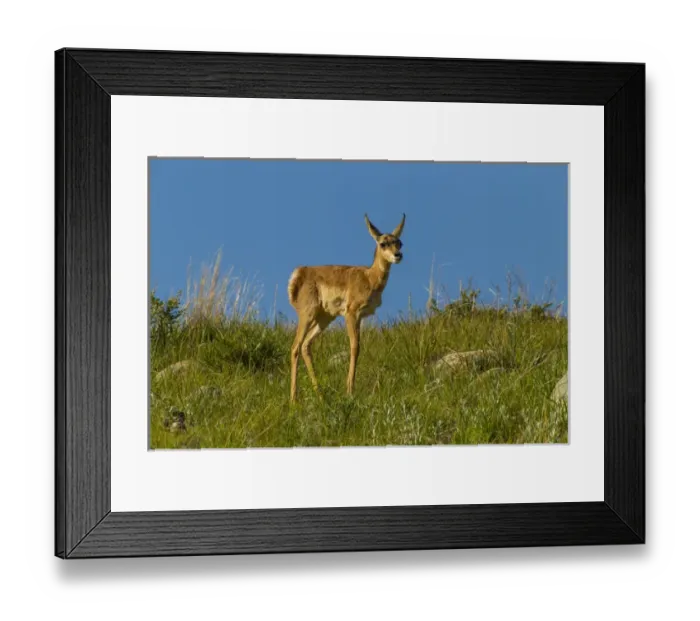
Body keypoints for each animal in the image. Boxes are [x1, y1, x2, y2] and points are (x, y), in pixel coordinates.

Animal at [287, 213, 406, 403]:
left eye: (400, 242)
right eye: (383, 243)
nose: (398, 255)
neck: (369, 277)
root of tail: (300, 273)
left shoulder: (359, 317)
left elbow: (357, 346)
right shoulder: (351, 314)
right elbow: (355, 347)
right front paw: (350, 390)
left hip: (324, 319)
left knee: (305, 346)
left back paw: (320, 395)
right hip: (308, 316)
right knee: (295, 347)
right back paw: (294, 400)